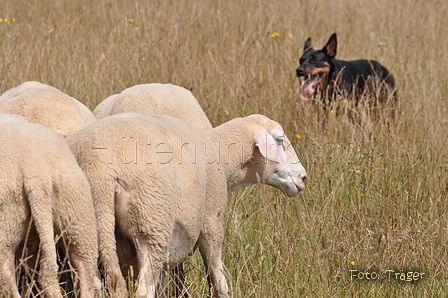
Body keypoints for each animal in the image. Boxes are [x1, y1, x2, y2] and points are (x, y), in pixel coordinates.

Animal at [66, 112, 306, 298]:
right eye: (280, 139)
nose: (303, 177)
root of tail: (100, 170)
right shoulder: (211, 220)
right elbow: (217, 277)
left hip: (87, 235)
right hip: (151, 225)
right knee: (144, 290)